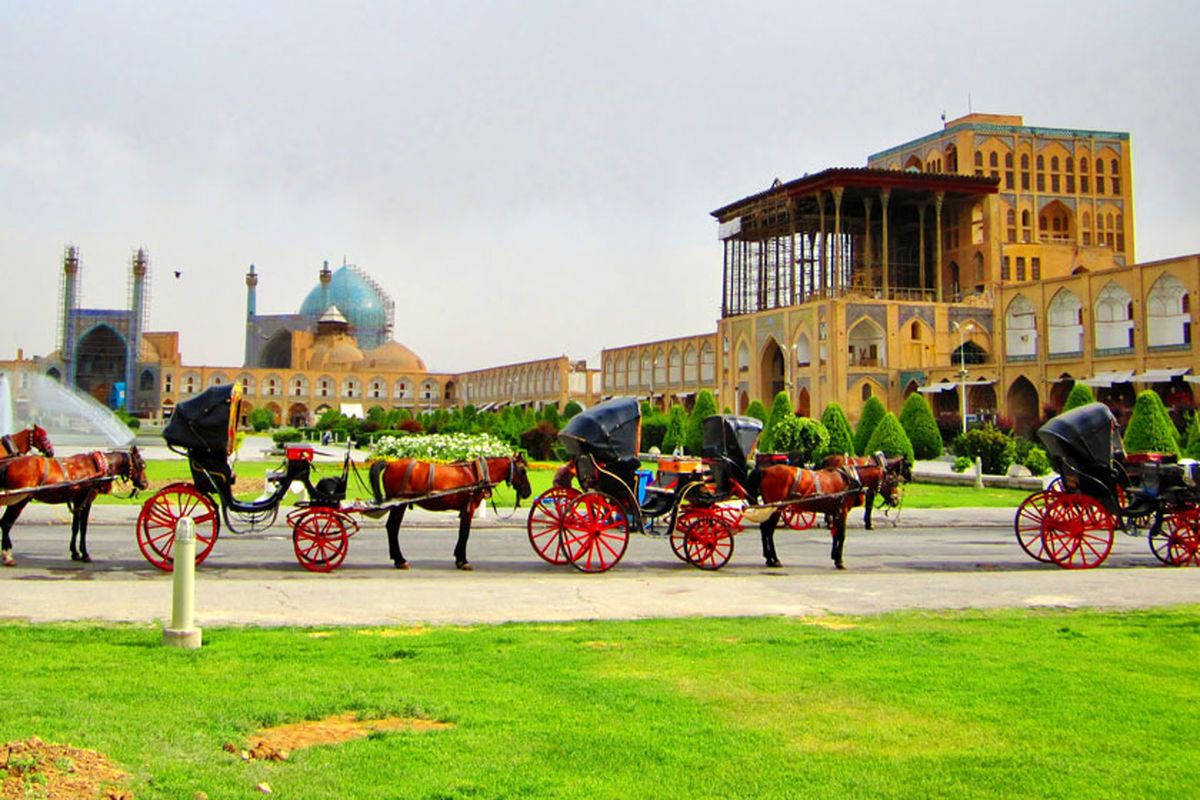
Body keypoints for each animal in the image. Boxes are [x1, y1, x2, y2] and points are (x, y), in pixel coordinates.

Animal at [0, 448, 147, 566]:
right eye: (142, 465)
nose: (145, 484)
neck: (96, 467)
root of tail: (9, 464)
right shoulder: (86, 500)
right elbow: (83, 528)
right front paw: (85, 554)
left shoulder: (77, 501)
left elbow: (75, 527)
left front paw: (75, 552)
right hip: (19, 500)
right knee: (6, 523)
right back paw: (7, 555)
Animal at [367, 455, 532, 568]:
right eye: (523, 471)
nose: (528, 492)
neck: (478, 474)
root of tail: (390, 463)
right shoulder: (469, 507)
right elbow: (465, 532)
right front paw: (463, 560)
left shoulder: (465, 509)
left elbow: (462, 532)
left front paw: (459, 558)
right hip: (399, 504)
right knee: (392, 528)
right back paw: (400, 560)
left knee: (391, 527)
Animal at [758, 455, 907, 568]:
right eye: (893, 482)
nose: (895, 500)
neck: (851, 480)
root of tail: (765, 471)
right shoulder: (843, 512)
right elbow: (842, 534)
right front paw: (840, 561)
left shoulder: (836, 511)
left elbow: (835, 534)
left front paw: (835, 556)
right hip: (776, 508)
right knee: (769, 531)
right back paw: (774, 559)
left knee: (764, 529)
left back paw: (769, 558)